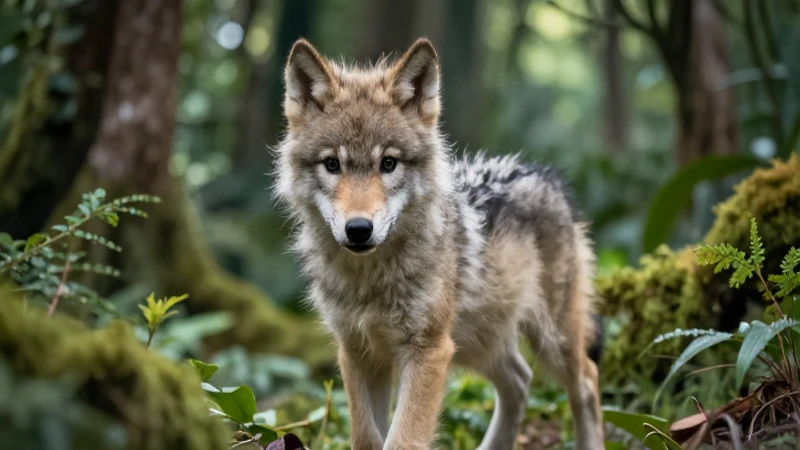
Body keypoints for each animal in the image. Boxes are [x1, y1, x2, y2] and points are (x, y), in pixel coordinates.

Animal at [274, 38, 604, 450]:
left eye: (388, 164)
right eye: (332, 164)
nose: (359, 229)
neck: (371, 282)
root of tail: (544, 175)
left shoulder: (428, 351)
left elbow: (403, 439)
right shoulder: (357, 352)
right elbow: (366, 436)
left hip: (550, 340)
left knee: (586, 382)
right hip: (479, 342)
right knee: (520, 381)